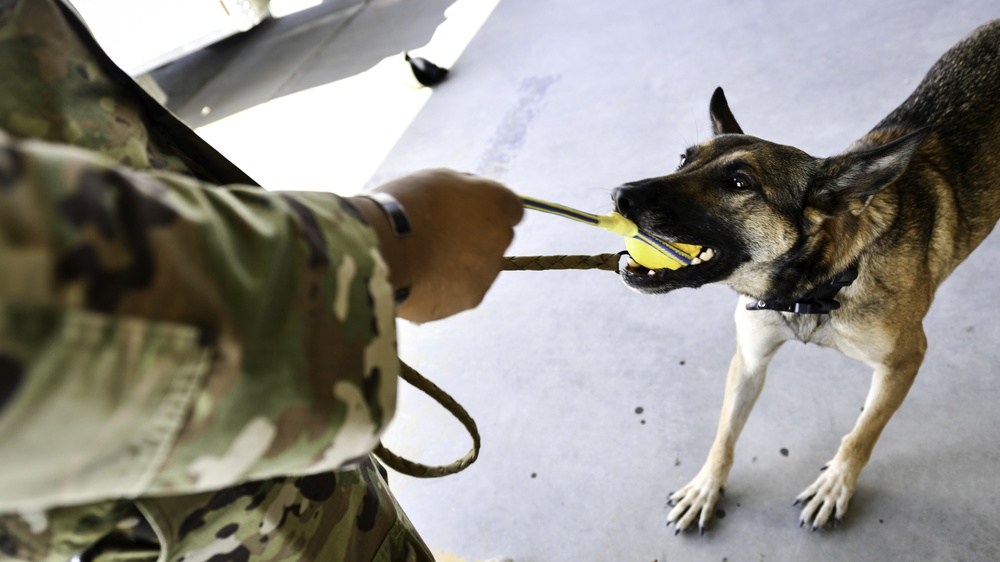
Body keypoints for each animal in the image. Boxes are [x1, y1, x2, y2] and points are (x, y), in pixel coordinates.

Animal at [608, 19, 1000, 532]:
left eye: (739, 183)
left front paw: (836, 484)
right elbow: (724, 435)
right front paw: (705, 487)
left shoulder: (904, 362)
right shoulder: (749, 359)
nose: (619, 196)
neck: (816, 286)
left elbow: (861, 434)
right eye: (683, 159)